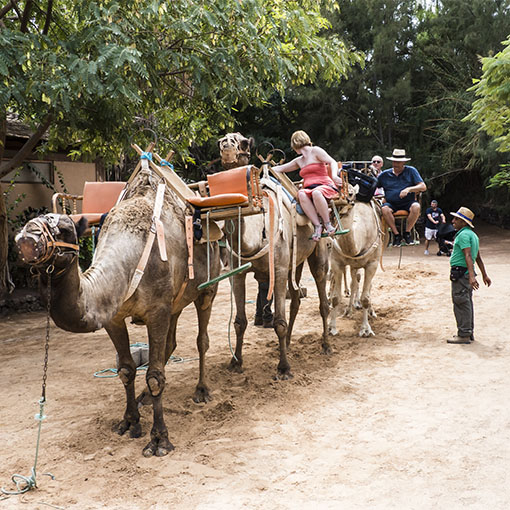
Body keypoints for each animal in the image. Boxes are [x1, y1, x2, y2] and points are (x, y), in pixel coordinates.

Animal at [14, 169, 219, 456]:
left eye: (64, 228)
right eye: (28, 224)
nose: (27, 236)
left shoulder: (157, 309)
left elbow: (155, 376)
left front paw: (159, 440)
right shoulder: (116, 317)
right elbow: (126, 369)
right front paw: (130, 421)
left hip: (208, 287)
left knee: (202, 339)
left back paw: (202, 391)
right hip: (176, 302)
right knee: (171, 341)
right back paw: (145, 398)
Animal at [328, 200, 384, 338]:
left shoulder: (372, 264)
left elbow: (365, 298)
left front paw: (365, 330)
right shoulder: (336, 262)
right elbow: (336, 298)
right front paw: (332, 328)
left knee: (364, 285)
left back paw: (370, 312)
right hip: (352, 265)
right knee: (353, 281)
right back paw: (349, 310)